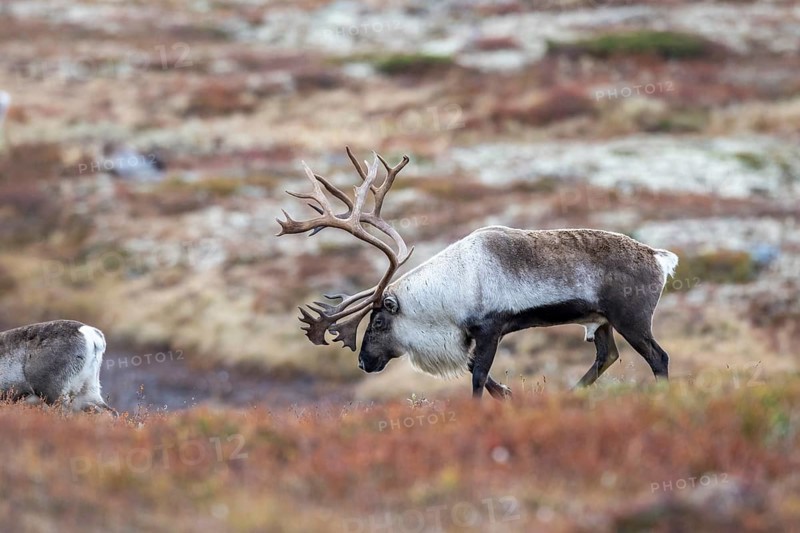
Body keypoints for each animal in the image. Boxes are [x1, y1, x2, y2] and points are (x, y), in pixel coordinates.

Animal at [277, 147, 679, 400]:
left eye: (377, 323)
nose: (363, 362)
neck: (449, 290)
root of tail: (660, 258)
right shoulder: (470, 336)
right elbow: (477, 371)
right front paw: (509, 394)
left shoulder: (490, 328)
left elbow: (477, 376)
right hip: (601, 320)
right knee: (607, 355)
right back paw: (571, 394)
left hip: (632, 318)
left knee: (658, 357)